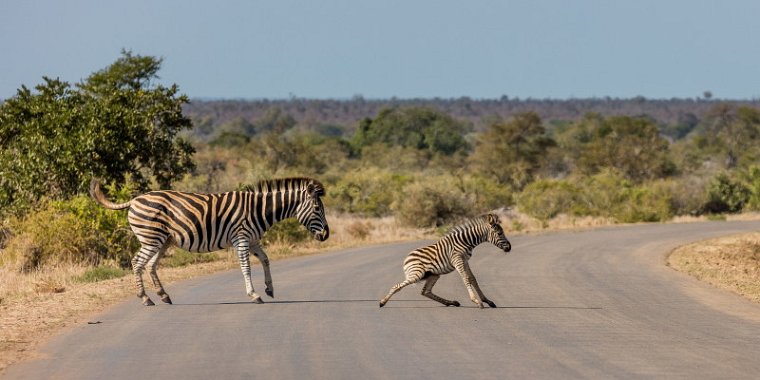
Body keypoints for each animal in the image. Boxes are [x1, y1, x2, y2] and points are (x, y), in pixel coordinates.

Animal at [90, 177, 328, 306]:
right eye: (317, 209)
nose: (326, 235)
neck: (258, 210)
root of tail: (134, 200)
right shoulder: (242, 237)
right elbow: (246, 267)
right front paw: (254, 294)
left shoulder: (253, 240)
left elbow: (266, 260)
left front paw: (269, 288)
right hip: (151, 237)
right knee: (137, 262)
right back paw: (145, 298)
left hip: (163, 240)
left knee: (150, 264)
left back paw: (163, 295)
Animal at [378, 214, 510, 308]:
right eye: (499, 233)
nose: (509, 248)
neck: (466, 242)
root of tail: (407, 257)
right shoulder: (457, 259)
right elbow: (466, 278)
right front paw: (477, 301)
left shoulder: (465, 260)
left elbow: (473, 278)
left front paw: (487, 301)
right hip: (417, 274)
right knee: (397, 286)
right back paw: (382, 302)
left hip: (433, 275)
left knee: (425, 292)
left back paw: (451, 303)